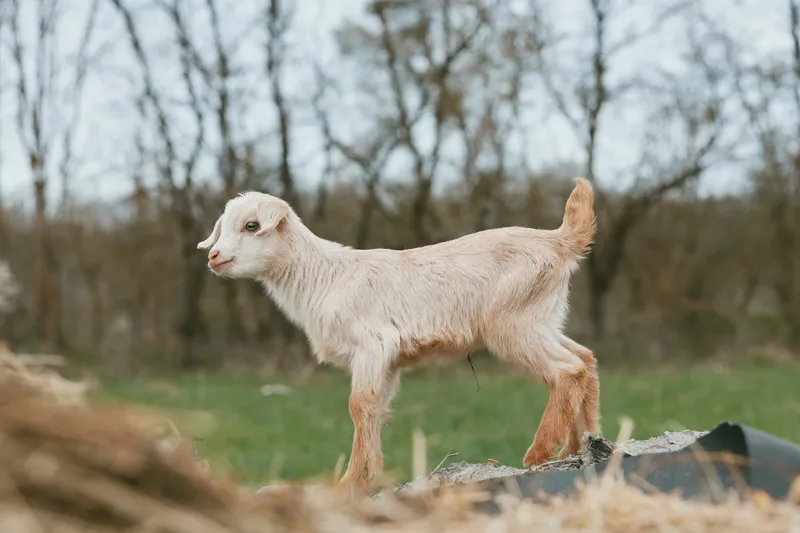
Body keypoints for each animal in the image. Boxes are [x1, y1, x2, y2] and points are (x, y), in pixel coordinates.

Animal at [197, 178, 600, 490]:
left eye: (251, 225)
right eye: (222, 226)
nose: (213, 256)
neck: (325, 277)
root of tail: (559, 241)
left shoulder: (372, 345)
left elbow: (358, 405)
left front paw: (349, 481)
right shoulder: (389, 361)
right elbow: (375, 408)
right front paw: (367, 476)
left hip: (515, 325)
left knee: (565, 370)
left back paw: (539, 453)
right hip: (544, 320)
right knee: (584, 359)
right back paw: (580, 446)